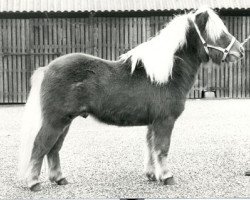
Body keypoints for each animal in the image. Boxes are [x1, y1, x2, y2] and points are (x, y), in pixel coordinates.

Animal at [17, 6, 244, 191]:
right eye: (217, 34)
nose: (240, 50)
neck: (166, 73)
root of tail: (46, 68)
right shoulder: (165, 121)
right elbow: (162, 149)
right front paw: (167, 176)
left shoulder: (154, 122)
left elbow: (151, 148)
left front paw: (152, 175)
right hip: (55, 121)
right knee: (40, 146)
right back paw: (34, 183)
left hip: (65, 122)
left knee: (53, 149)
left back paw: (59, 179)